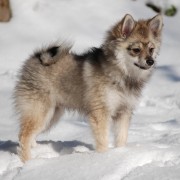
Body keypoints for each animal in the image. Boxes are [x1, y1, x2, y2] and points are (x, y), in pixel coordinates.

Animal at [14, 14, 163, 162]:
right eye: (136, 50)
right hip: (40, 111)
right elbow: (103, 140)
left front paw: (120, 154)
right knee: (24, 136)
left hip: (51, 115)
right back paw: (28, 162)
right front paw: (104, 157)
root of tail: (36, 58)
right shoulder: (101, 112)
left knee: (30, 135)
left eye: (151, 49)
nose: (151, 61)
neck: (121, 73)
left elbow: (121, 137)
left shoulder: (124, 111)